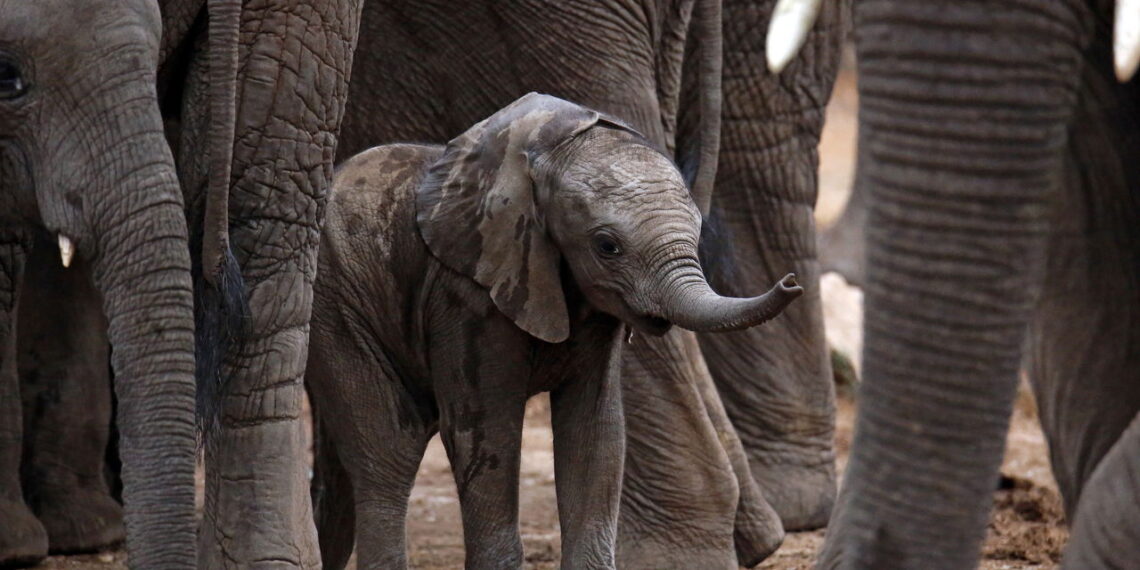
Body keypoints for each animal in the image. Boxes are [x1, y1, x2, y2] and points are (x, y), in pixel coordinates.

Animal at [328, 0, 844, 566]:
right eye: (606, 246)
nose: (789, 284)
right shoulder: (465, 296)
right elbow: (486, 431)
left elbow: (595, 433)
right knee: (388, 448)